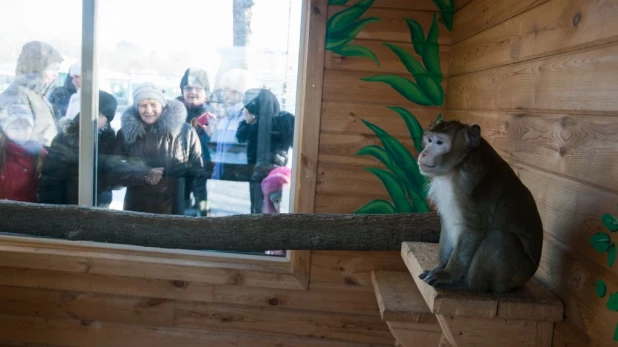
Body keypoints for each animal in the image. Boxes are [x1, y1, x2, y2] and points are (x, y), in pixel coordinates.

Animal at [416, 120, 540, 294]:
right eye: (429, 140)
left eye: (439, 142)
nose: (424, 153)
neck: (458, 165)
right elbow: (448, 221)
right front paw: (439, 267)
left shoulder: (471, 184)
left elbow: (473, 230)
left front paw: (447, 275)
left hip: (516, 273)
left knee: (499, 239)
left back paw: (470, 285)